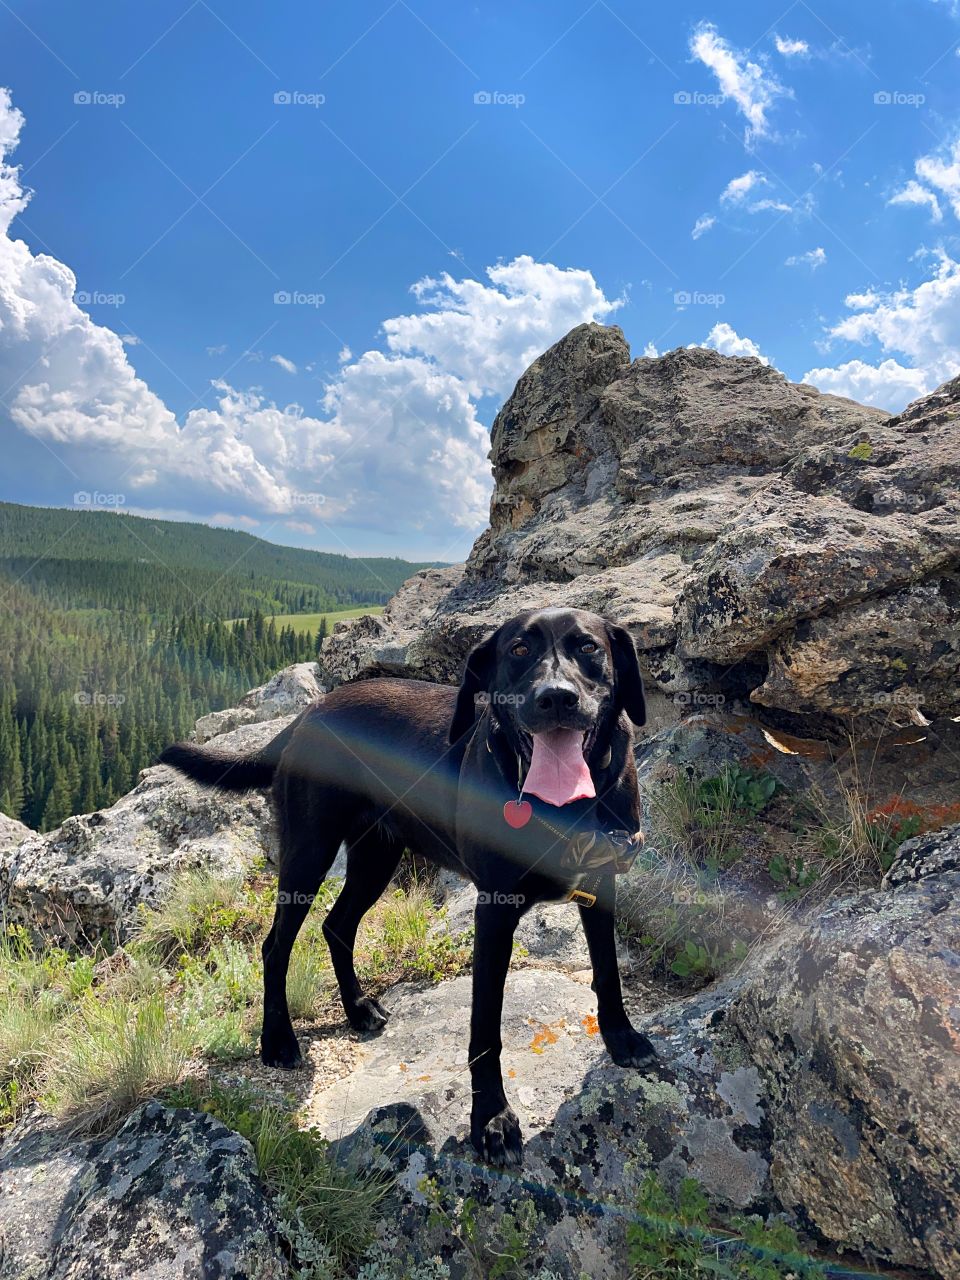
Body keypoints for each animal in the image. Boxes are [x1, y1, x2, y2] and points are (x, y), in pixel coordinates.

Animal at [161, 604, 660, 1167]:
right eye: (519, 650)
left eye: (588, 647)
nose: (556, 697)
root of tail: (306, 716)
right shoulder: (494, 911)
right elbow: (485, 1027)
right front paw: (491, 1120)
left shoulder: (602, 884)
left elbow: (608, 972)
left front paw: (622, 1038)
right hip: (309, 854)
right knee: (276, 944)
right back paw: (279, 1040)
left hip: (376, 856)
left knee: (337, 925)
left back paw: (358, 1009)